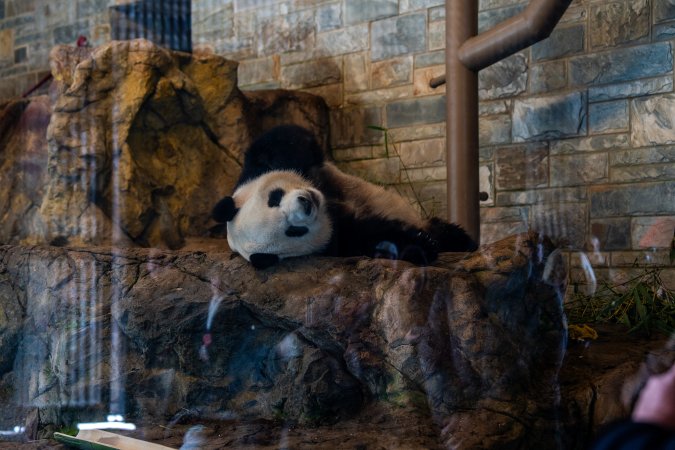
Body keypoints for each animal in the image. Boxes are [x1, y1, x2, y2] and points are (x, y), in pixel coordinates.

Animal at [212, 125, 477, 269]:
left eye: (274, 198)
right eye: (293, 231)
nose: (306, 203)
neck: (327, 204)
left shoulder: (255, 170)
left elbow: (285, 140)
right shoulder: (337, 242)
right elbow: (373, 237)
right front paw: (424, 245)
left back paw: (463, 239)